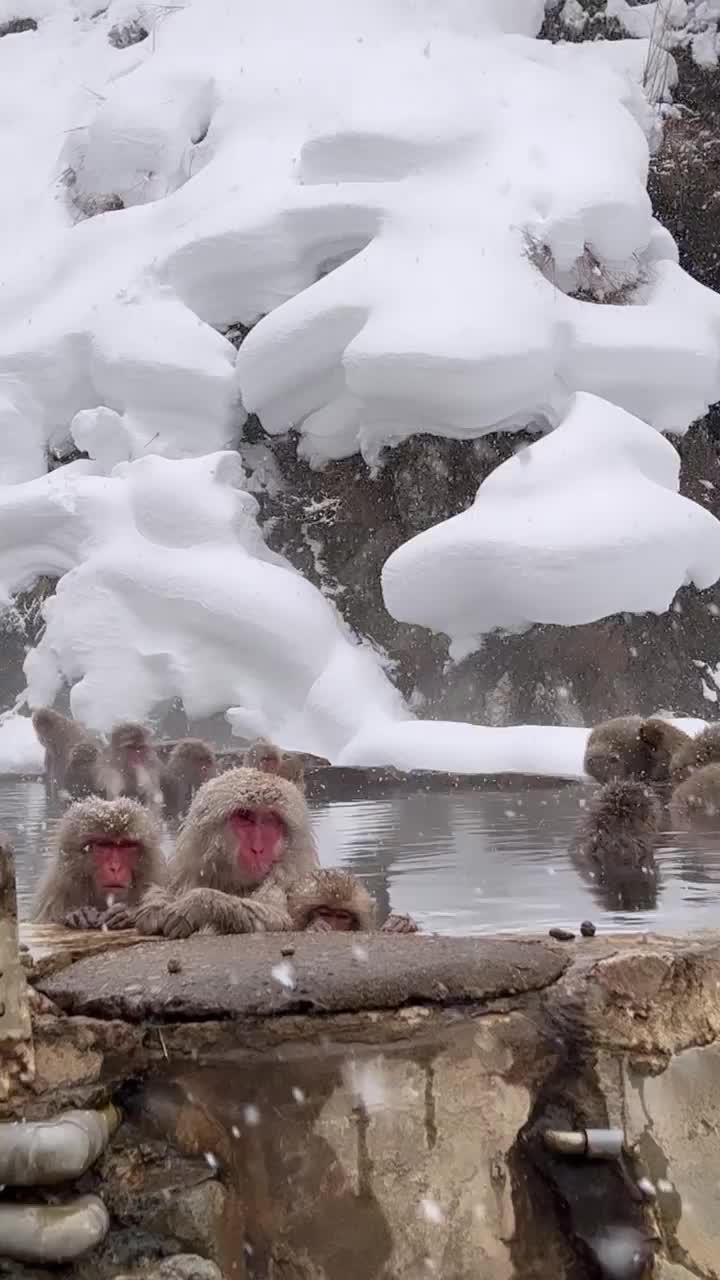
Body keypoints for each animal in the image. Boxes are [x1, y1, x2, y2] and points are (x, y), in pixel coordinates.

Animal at [105, 767, 318, 938]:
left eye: (269, 821)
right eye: (245, 816)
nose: (258, 848)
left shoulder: (285, 879)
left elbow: (278, 920)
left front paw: (199, 904)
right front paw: (153, 907)